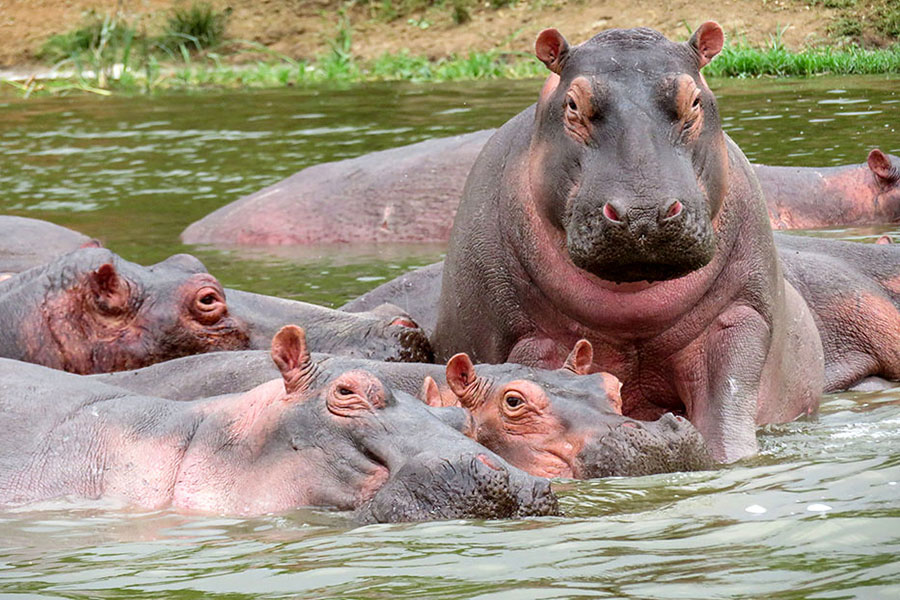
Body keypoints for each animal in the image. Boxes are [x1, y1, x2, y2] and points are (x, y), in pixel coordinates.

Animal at [430, 23, 826, 463]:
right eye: (572, 104)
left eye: (694, 99)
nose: (642, 212)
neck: (634, 302)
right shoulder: (528, 337)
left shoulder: (739, 316)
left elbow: (725, 408)